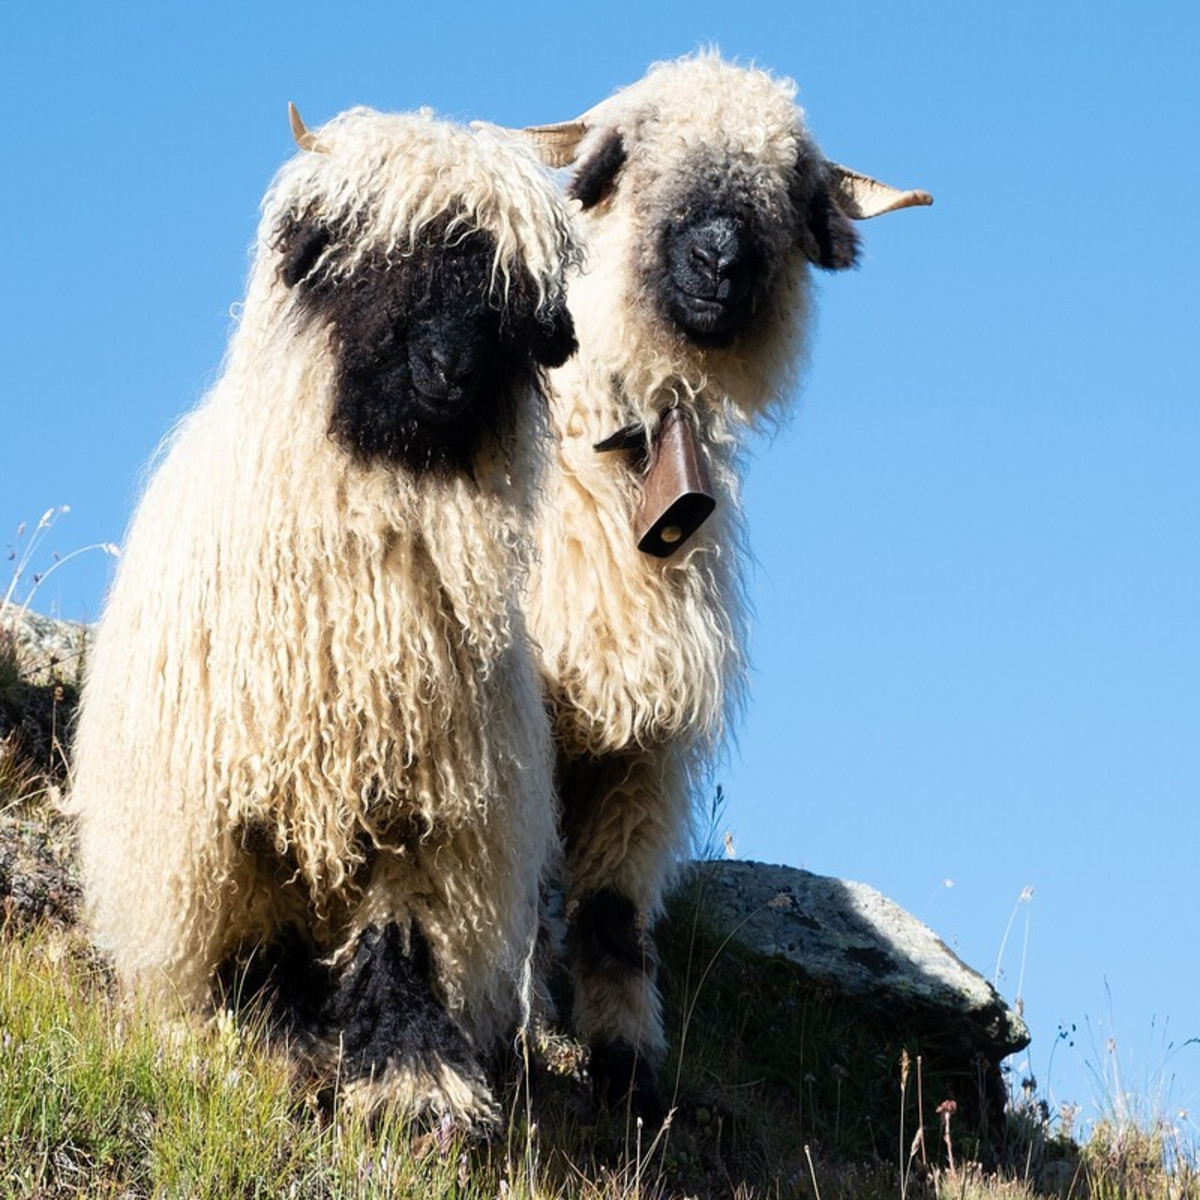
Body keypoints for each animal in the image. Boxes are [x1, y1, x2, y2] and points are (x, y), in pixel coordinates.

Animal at [68, 104, 579, 1132]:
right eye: (370, 265)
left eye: (506, 303)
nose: (448, 371)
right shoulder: (240, 804)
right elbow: (255, 935)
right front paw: (270, 1051)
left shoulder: (428, 809)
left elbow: (403, 936)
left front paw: (414, 1086)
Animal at [520, 51, 931, 1120]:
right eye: (632, 150)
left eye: (791, 184)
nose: (719, 262)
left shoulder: (647, 753)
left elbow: (613, 917)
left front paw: (626, 1069)